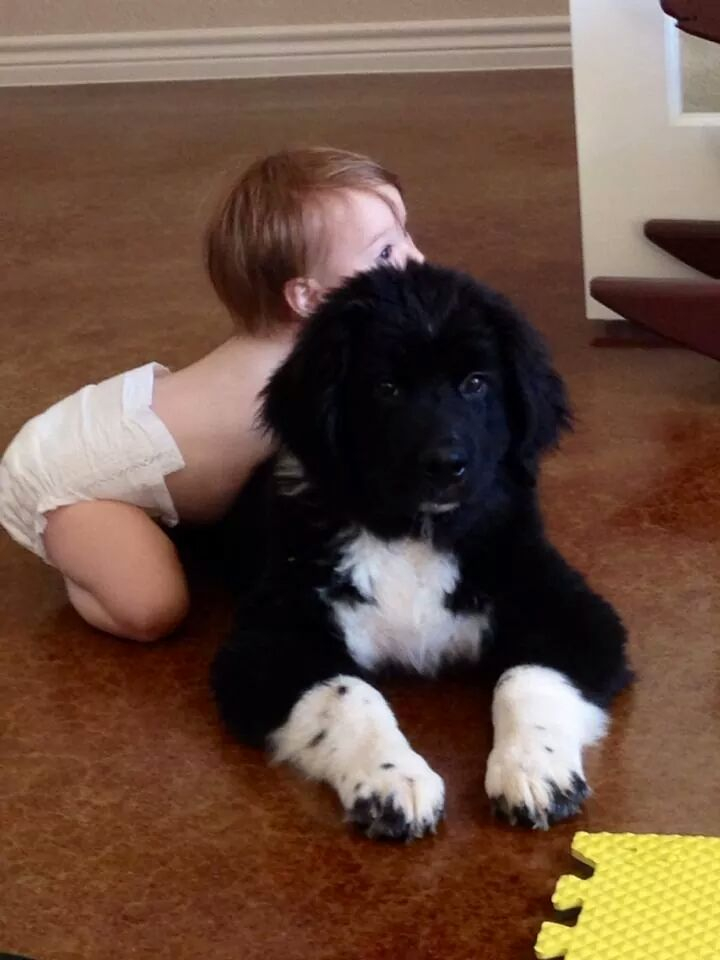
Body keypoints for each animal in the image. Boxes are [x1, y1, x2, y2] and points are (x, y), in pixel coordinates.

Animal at [214, 260, 632, 840]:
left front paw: (531, 768)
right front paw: (391, 779)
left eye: (475, 383)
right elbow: (349, 695)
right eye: (386, 388)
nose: (446, 465)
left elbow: (526, 677)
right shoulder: (272, 641)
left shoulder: (565, 606)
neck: (411, 534)